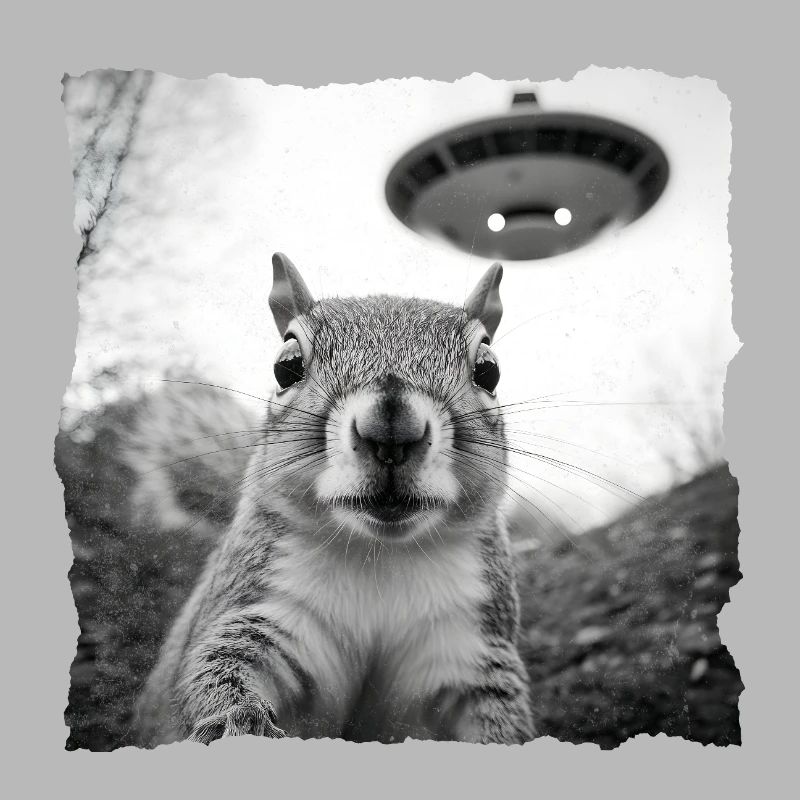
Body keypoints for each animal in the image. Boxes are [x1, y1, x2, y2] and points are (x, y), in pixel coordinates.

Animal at [133, 252, 535, 746]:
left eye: (489, 370)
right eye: (286, 366)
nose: (392, 429)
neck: (381, 555)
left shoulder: (468, 648)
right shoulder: (264, 609)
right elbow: (218, 667)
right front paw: (238, 722)